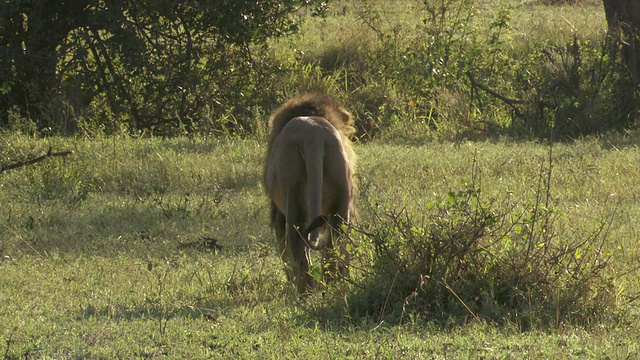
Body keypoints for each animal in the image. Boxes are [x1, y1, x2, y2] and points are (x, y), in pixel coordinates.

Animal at [262, 91, 358, 294]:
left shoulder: (277, 212)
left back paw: (304, 290)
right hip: (340, 197)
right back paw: (332, 286)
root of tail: (313, 137)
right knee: (334, 244)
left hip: (291, 194)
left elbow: (284, 251)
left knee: (296, 243)